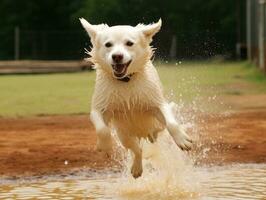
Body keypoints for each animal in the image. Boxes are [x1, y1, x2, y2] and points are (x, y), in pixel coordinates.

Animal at [80, 18, 192, 178]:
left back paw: (153, 135)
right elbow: (102, 129)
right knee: (137, 150)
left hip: (156, 124)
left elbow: (172, 123)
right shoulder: (98, 109)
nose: (117, 56)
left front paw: (182, 140)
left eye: (129, 43)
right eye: (108, 44)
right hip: (124, 135)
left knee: (157, 131)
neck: (126, 81)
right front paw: (105, 145)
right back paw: (137, 168)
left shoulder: (158, 104)